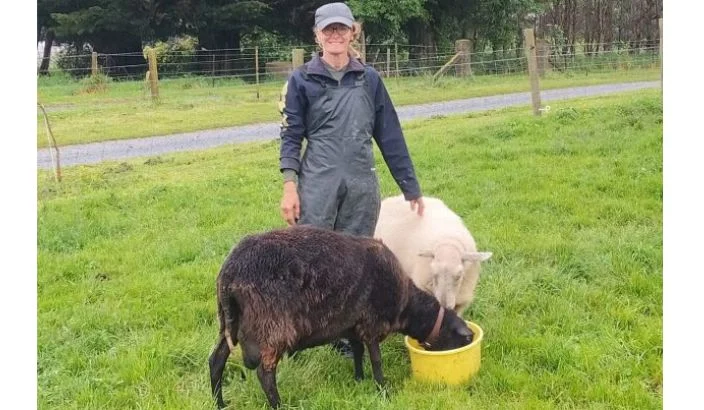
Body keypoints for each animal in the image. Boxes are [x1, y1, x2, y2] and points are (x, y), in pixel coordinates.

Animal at [208, 225, 474, 409]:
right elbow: (376, 360)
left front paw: (358, 379)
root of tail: (230, 273)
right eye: (465, 340)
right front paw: (383, 389)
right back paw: (278, 406)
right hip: (272, 326)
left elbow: (357, 352)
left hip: (230, 323)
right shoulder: (371, 324)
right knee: (265, 374)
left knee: (216, 360)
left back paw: (219, 403)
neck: (406, 305)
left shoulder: (352, 325)